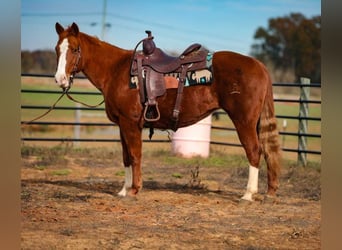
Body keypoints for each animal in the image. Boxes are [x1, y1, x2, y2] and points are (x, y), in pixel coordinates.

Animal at [54, 22, 280, 202]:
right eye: (57, 49)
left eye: (74, 48)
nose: (59, 79)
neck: (117, 71)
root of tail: (259, 65)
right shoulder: (122, 125)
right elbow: (126, 157)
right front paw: (124, 190)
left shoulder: (131, 124)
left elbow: (135, 155)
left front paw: (134, 190)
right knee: (266, 151)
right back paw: (269, 191)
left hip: (244, 121)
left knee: (254, 151)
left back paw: (248, 194)